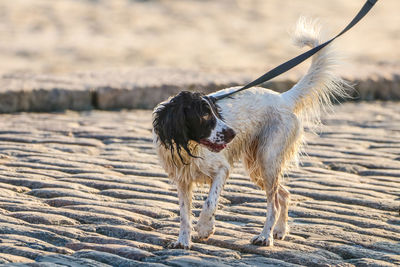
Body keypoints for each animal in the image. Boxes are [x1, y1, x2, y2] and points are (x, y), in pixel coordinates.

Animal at [152, 18, 348, 249]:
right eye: (204, 115)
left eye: (215, 112)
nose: (232, 134)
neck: (189, 147)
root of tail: (283, 98)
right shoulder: (182, 181)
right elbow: (184, 214)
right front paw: (183, 240)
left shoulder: (222, 169)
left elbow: (210, 202)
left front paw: (205, 228)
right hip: (258, 167)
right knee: (284, 194)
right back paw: (280, 231)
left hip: (268, 160)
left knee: (274, 203)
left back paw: (265, 236)